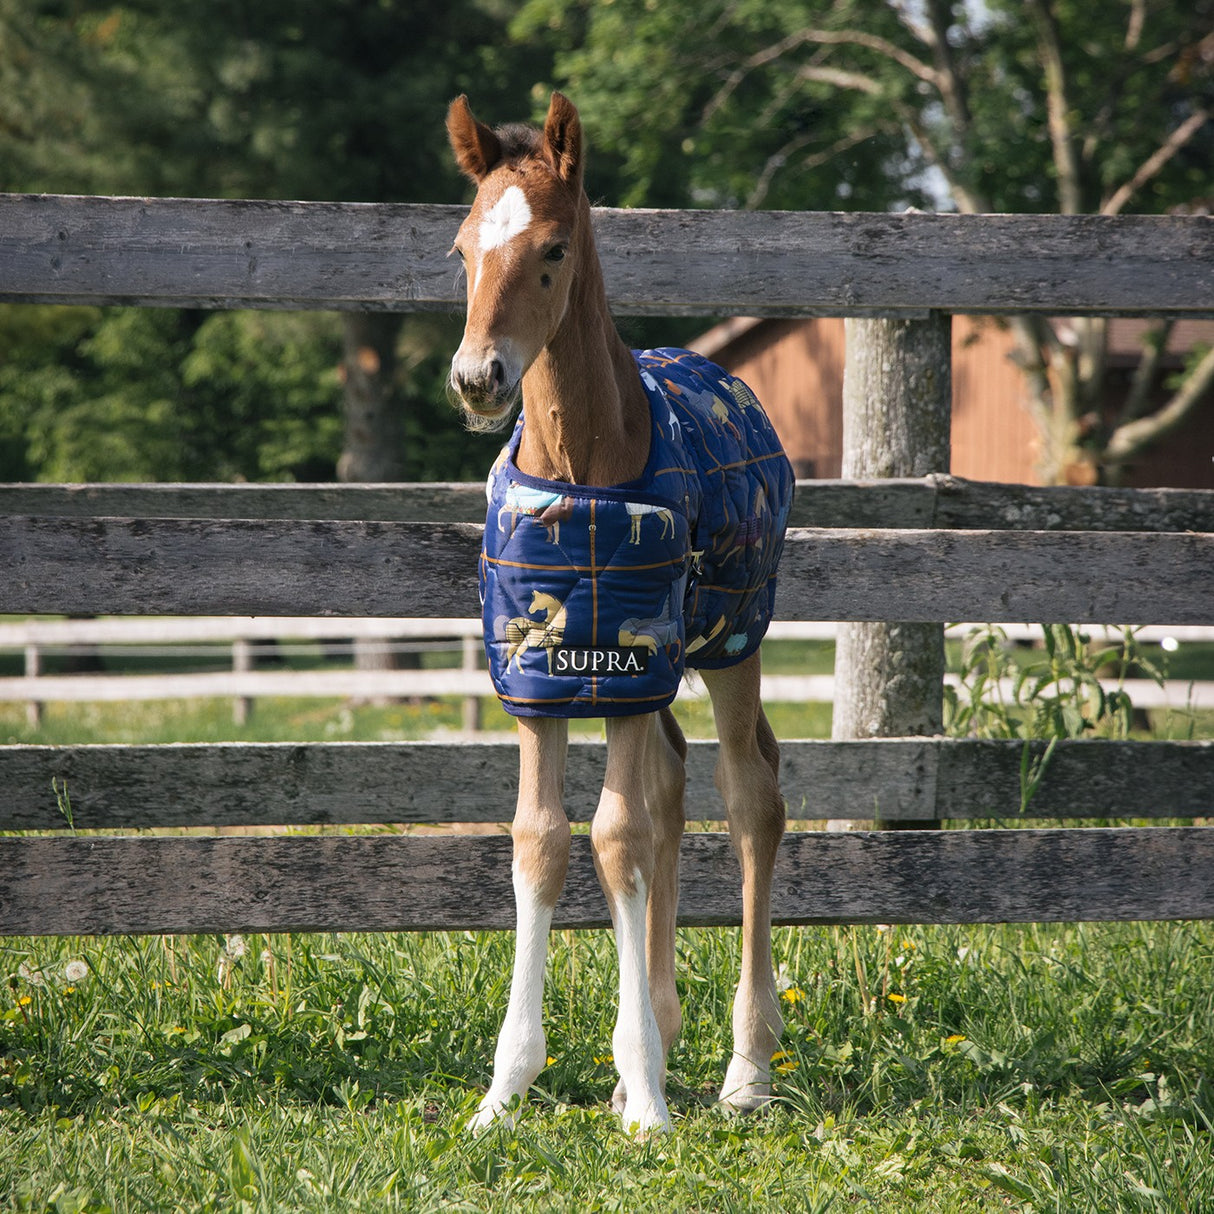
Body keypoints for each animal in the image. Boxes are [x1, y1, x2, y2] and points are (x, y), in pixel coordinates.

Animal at [446, 91, 792, 1136]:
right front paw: (507, 1091)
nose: (478, 379)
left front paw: (644, 1101)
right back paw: (668, 1042)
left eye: (553, 248)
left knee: (750, 794)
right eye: (461, 249)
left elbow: (616, 837)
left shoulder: (632, 671)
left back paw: (744, 1069)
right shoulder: (540, 682)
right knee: (674, 785)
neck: (581, 470)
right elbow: (545, 841)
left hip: (729, 639)